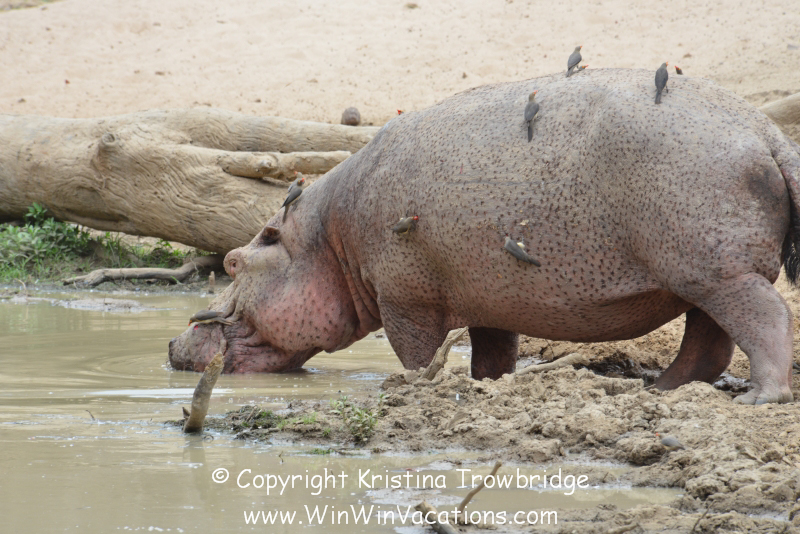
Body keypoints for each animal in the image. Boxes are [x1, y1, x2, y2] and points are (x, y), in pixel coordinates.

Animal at [169, 68, 800, 405]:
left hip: (717, 270)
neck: (328, 237)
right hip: (699, 277)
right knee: (709, 342)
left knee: (765, 318)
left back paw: (760, 396)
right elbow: (493, 355)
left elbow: (416, 354)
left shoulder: (407, 300)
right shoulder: (490, 296)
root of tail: (768, 133)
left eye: (232, 262)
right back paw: (660, 391)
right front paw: (489, 387)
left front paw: (412, 385)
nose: (174, 344)